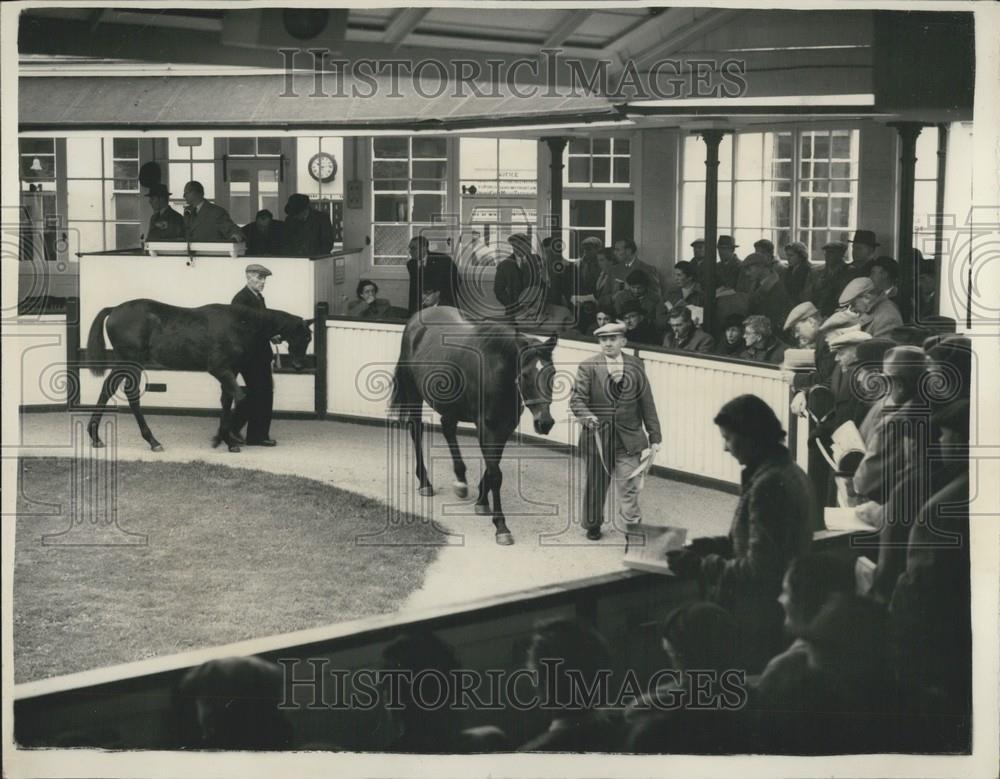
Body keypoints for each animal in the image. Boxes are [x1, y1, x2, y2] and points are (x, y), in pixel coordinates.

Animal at [86, 300, 312, 458]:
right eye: (305, 337)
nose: (299, 366)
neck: (238, 325)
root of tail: (114, 309)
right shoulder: (219, 369)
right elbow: (241, 397)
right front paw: (224, 439)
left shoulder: (231, 370)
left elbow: (227, 400)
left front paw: (226, 439)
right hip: (131, 361)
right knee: (130, 394)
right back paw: (153, 441)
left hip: (124, 362)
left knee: (107, 389)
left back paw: (96, 436)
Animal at [388, 308, 560, 544]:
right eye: (525, 374)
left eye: (553, 374)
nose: (545, 423)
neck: (496, 372)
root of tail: (417, 318)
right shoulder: (486, 428)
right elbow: (496, 474)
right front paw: (501, 526)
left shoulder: (504, 428)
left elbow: (493, 466)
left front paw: (482, 501)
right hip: (414, 393)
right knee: (416, 430)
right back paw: (425, 483)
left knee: (448, 428)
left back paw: (460, 480)